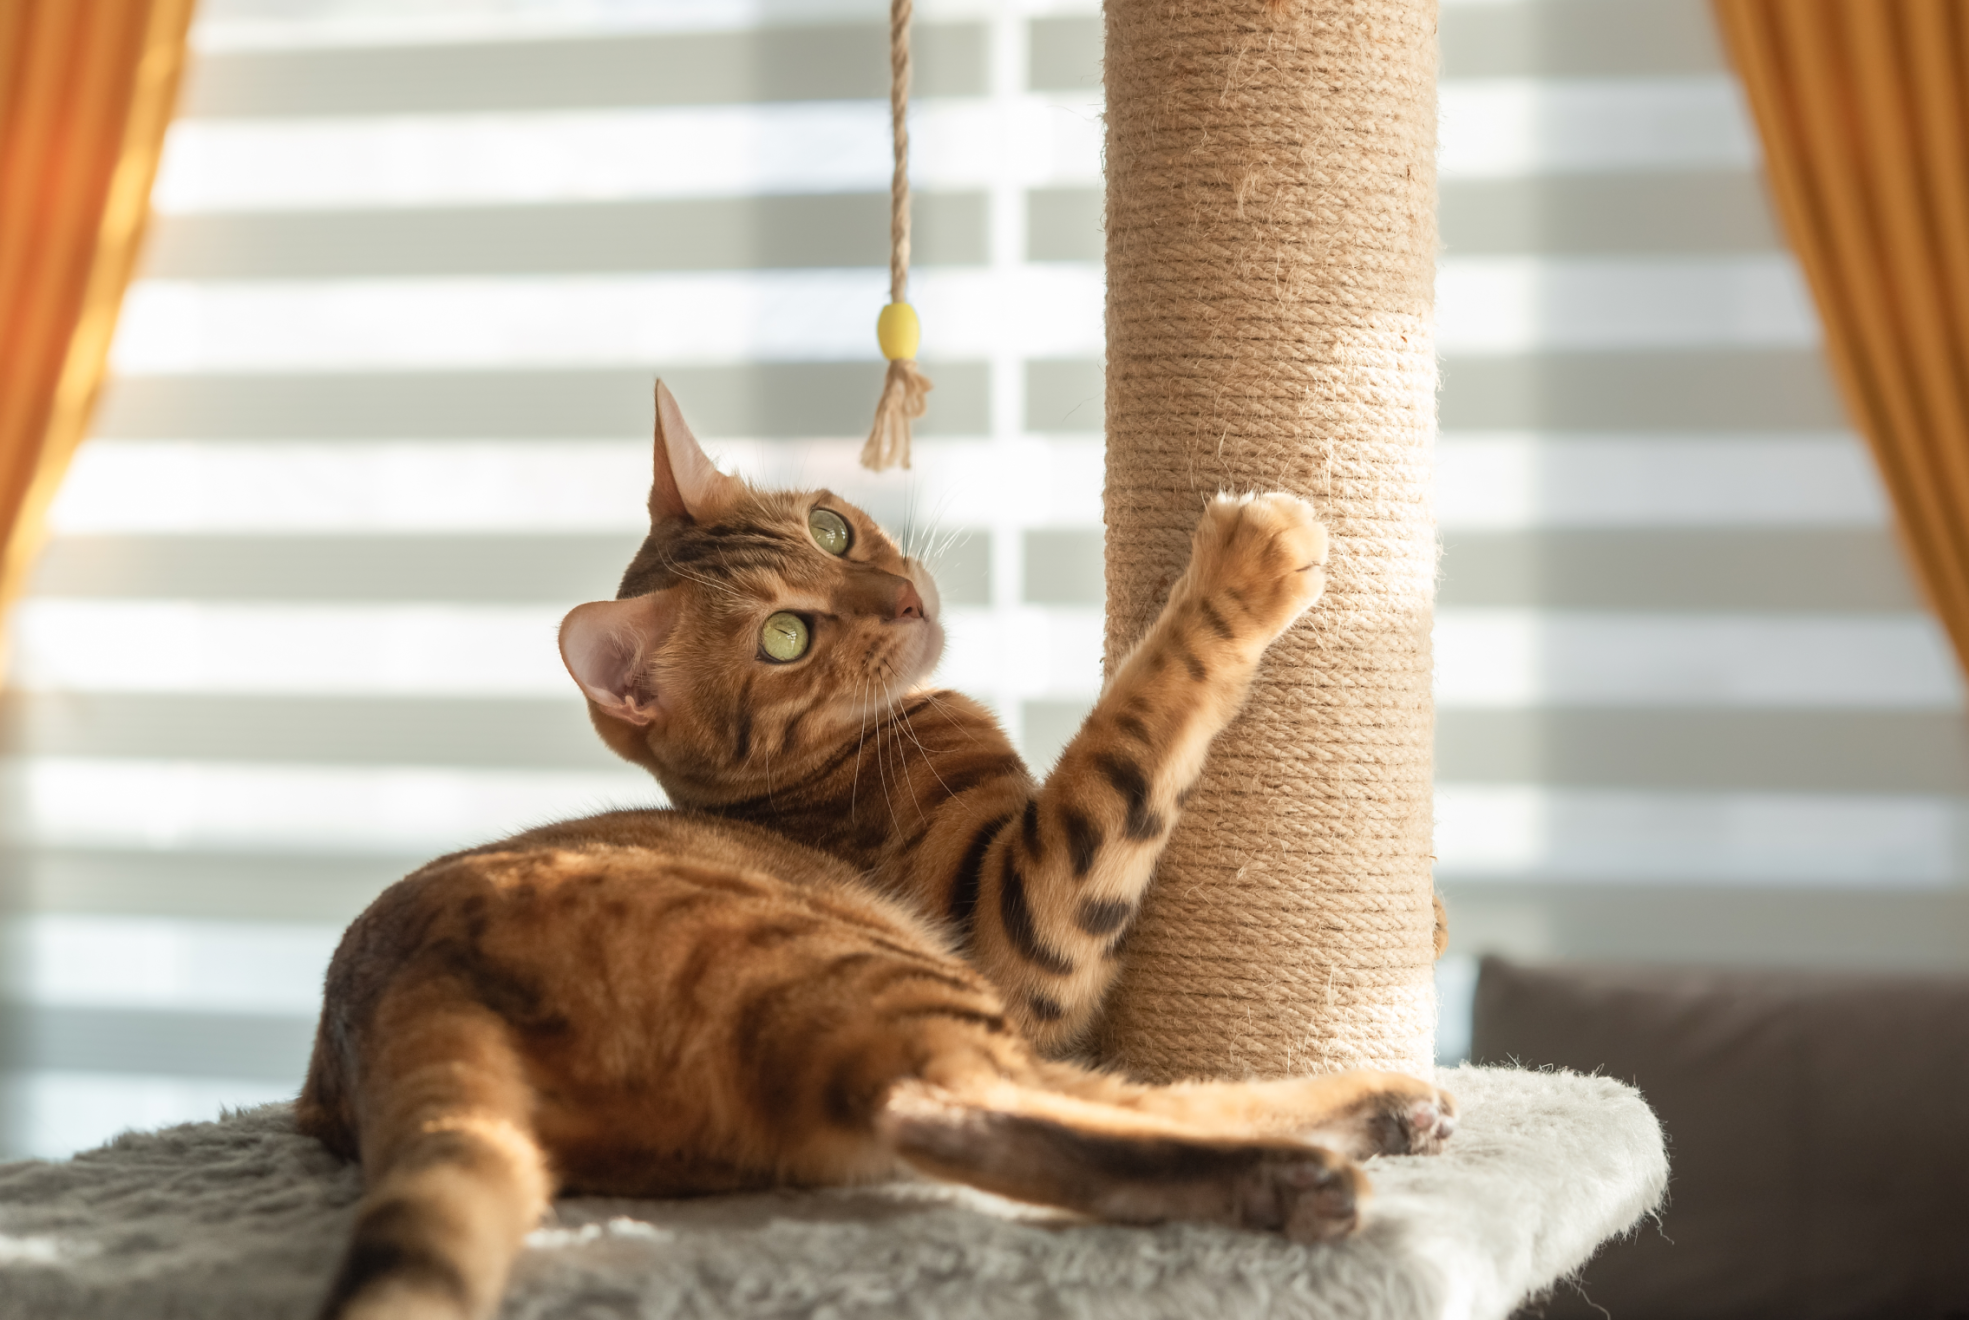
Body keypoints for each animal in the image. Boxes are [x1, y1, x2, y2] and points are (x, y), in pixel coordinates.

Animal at [295, 382, 1464, 1320]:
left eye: (831, 529)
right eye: (786, 638)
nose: (905, 597)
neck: (823, 770)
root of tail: (395, 986)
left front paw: (1432, 916)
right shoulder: (1017, 914)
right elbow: (1140, 718)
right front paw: (1243, 570)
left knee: (1060, 1098)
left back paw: (1368, 1115)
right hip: (874, 961)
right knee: (961, 1107)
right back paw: (1298, 1169)